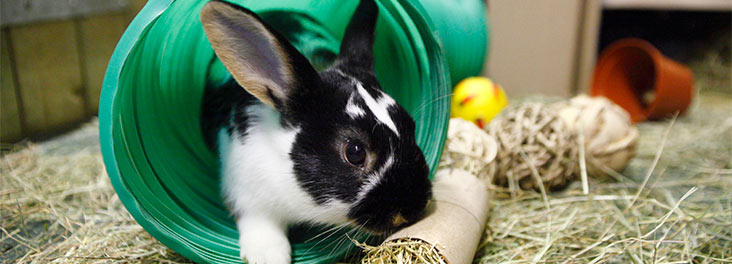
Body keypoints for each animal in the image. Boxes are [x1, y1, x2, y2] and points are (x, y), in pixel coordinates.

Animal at [197, 0, 432, 262]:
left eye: (410, 125)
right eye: (355, 152)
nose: (414, 206)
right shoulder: (248, 197)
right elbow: (261, 226)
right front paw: (269, 256)